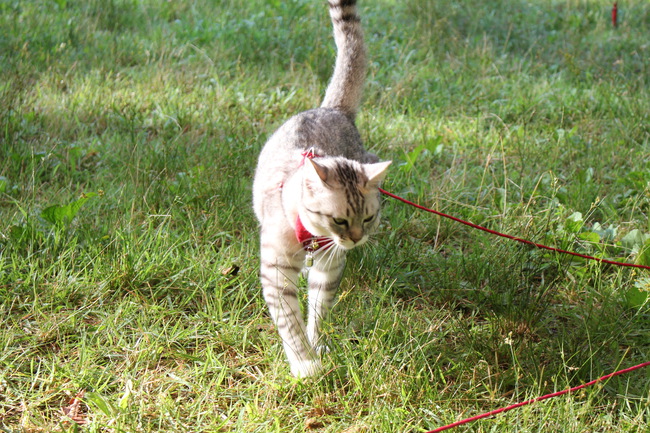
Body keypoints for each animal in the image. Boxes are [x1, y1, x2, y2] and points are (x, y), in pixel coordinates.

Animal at [251, 0, 388, 378]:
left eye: (368, 219)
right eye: (339, 220)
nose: (355, 239)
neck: (310, 238)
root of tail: (332, 109)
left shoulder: (330, 263)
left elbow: (318, 309)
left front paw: (317, 344)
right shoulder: (275, 272)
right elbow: (289, 322)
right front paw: (305, 364)